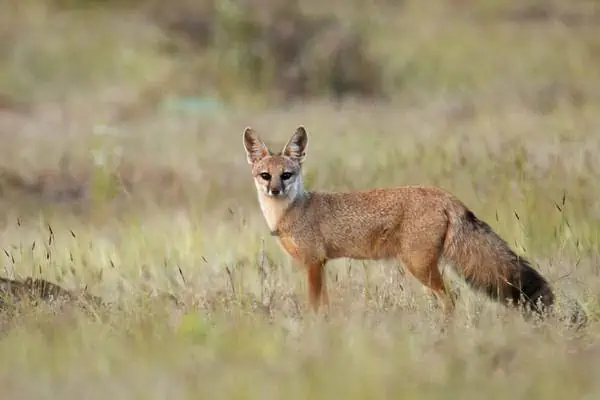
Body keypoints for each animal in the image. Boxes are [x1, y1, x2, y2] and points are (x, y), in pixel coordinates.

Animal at [241, 125, 556, 318]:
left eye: (287, 175)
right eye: (265, 175)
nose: (274, 190)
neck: (292, 210)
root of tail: (445, 195)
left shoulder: (313, 264)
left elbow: (313, 306)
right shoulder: (320, 265)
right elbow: (325, 306)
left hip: (419, 267)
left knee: (451, 299)